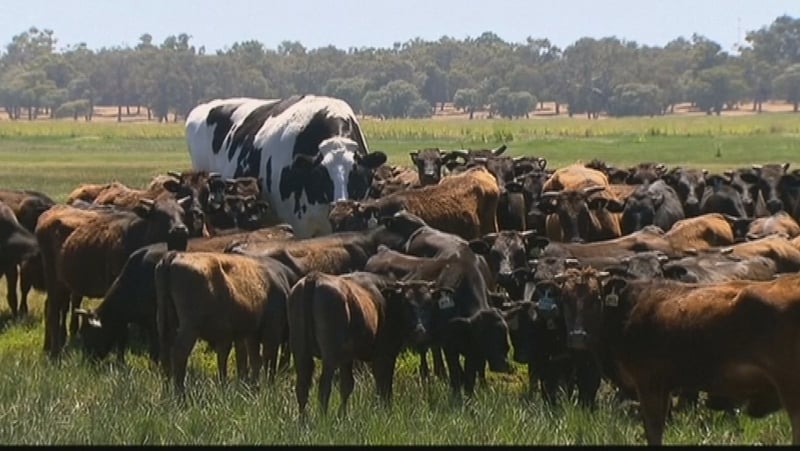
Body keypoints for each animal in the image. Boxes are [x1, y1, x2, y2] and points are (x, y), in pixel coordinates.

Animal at [36, 197, 192, 358]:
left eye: (182, 214)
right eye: (160, 214)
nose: (180, 230)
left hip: (64, 283)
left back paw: (49, 345)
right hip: (53, 279)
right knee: (53, 311)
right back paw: (54, 351)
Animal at [155, 250, 300, 394]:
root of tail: (176, 255)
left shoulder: (248, 335)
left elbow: (252, 360)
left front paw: (253, 388)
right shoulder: (270, 331)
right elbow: (268, 361)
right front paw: (268, 389)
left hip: (166, 325)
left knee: (166, 357)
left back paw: (167, 392)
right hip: (189, 328)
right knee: (179, 353)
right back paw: (180, 394)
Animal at [288, 272, 442, 417]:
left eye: (429, 303)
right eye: (406, 303)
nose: (420, 331)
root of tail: (314, 277)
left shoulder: (347, 359)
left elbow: (347, 386)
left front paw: (343, 416)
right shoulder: (385, 354)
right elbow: (384, 384)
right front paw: (385, 410)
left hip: (301, 354)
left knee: (302, 389)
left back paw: (303, 421)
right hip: (329, 358)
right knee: (324, 388)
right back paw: (323, 419)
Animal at [555, 267, 800, 445]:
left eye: (596, 298)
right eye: (565, 299)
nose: (577, 337)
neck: (629, 309)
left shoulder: (649, 385)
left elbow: (653, 431)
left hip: (790, 388)